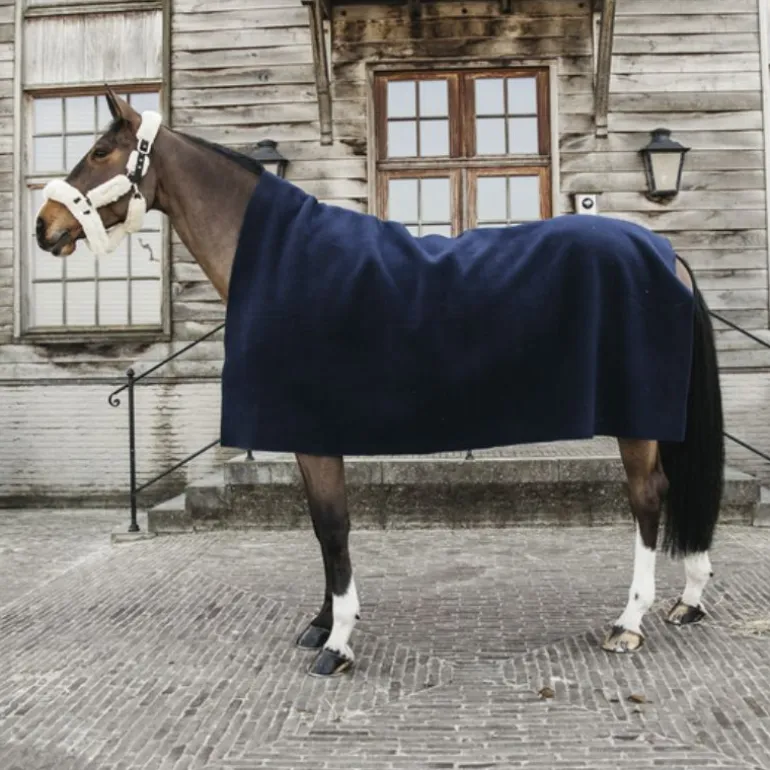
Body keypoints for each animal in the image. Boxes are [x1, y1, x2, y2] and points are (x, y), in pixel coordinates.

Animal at [36, 88, 724, 678]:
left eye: (100, 153)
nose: (45, 225)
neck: (279, 260)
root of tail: (663, 252)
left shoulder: (317, 436)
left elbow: (335, 527)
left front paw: (338, 641)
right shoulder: (308, 438)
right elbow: (321, 529)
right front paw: (321, 622)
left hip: (636, 424)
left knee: (648, 499)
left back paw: (629, 622)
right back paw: (688, 599)